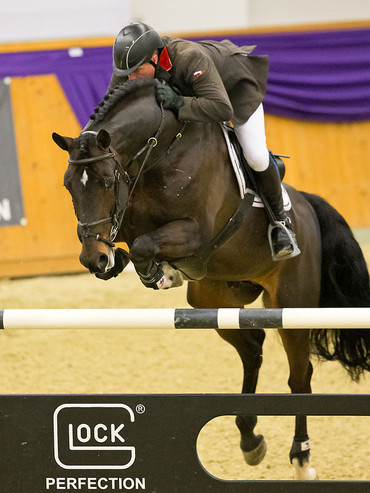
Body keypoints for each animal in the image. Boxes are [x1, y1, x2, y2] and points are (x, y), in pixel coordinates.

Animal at [52, 79, 370, 478]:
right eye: (68, 185)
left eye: (108, 181)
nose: (92, 259)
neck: (161, 149)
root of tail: (306, 206)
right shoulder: (126, 219)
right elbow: (130, 240)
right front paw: (118, 262)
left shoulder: (194, 230)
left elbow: (144, 245)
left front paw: (159, 272)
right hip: (212, 299)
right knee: (252, 348)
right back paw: (249, 438)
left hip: (290, 305)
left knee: (299, 375)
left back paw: (301, 458)